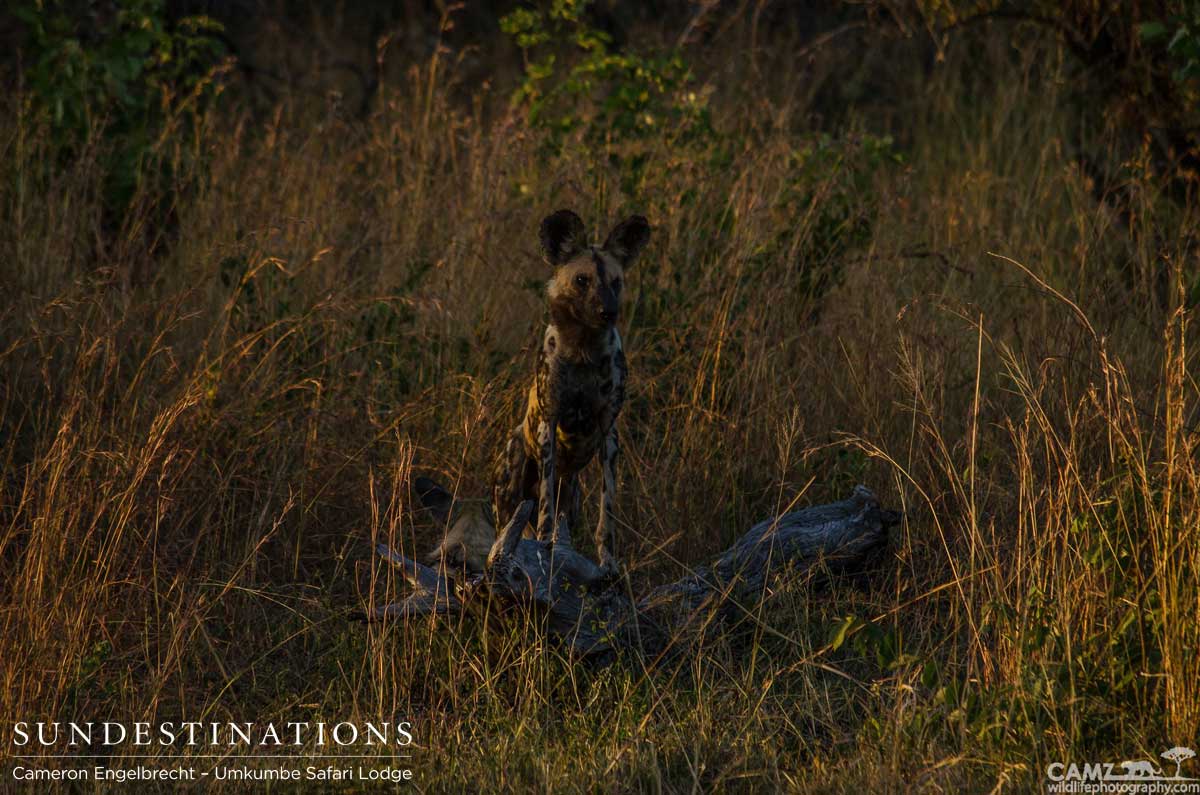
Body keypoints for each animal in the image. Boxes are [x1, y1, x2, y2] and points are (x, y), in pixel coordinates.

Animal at [492, 208, 652, 576]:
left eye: (616, 282)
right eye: (582, 280)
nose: (609, 311)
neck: (582, 349)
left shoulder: (609, 434)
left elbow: (607, 513)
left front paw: (608, 563)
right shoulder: (548, 426)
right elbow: (546, 511)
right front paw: (544, 552)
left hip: (574, 493)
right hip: (512, 482)